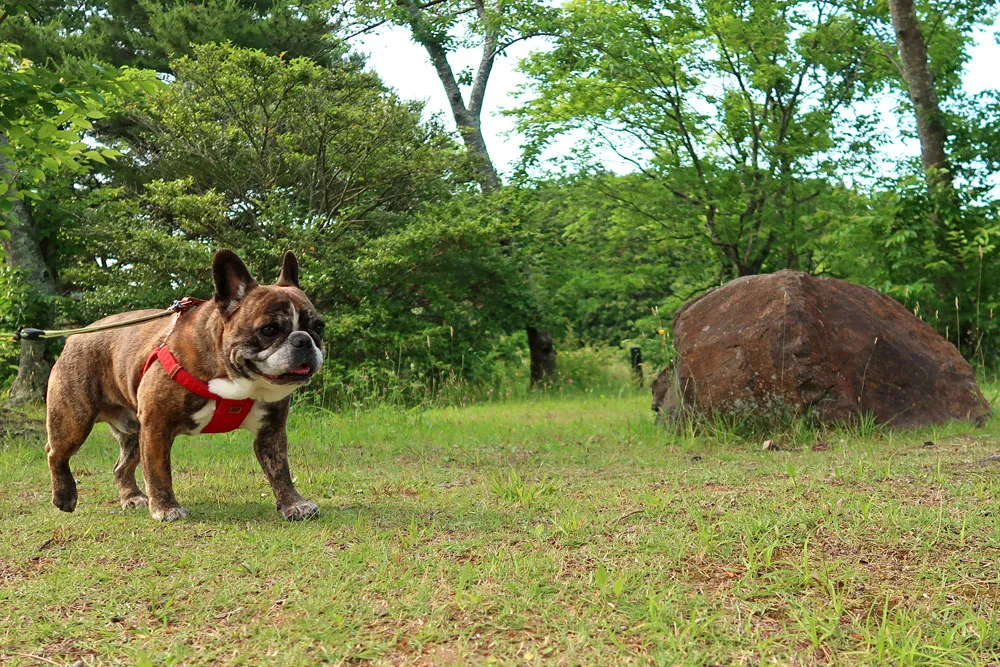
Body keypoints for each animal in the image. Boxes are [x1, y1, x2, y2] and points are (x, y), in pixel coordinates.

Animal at [45, 250, 324, 520]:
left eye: (319, 327)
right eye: (269, 329)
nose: (303, 340)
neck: (236, 379)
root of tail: (77, 335)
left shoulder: (271, 430)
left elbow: (280, 470)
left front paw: (293, 503)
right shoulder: (157, 427)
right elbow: (159, 471)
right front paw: (166, 507)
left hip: (135, 429)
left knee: (121, 466)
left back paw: (131, 497)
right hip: (74, 421)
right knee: (55, 452)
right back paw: (64, 496)